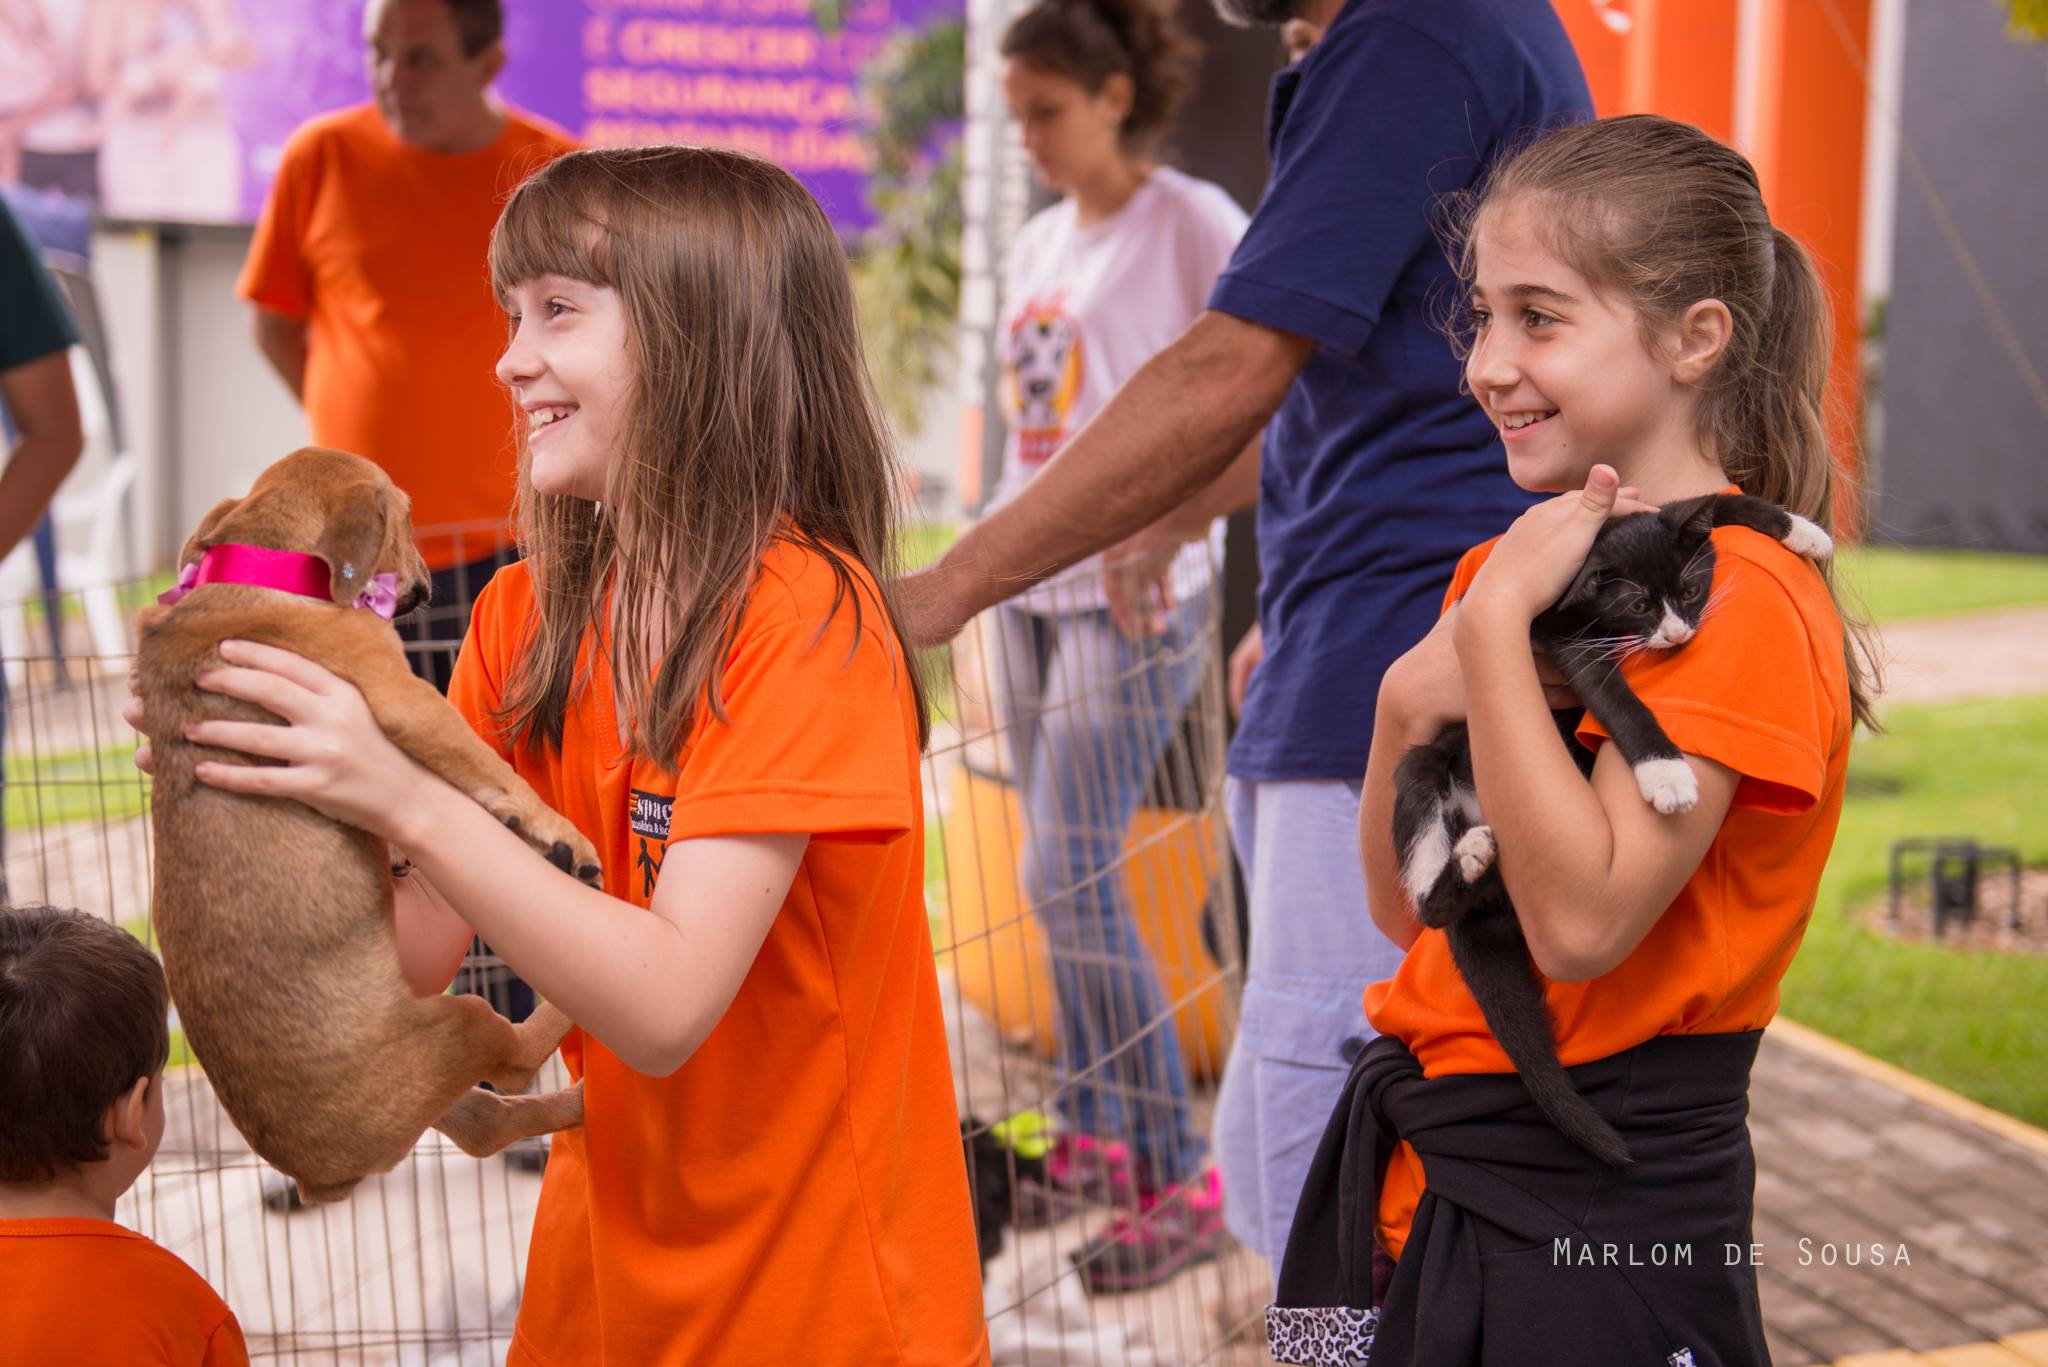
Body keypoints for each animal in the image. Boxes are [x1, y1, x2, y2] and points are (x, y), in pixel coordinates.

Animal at [138, 446, 593, 1196]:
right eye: (406, 515)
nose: (429, 583)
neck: (271, 561)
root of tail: (316, 1174)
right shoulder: (406, 698)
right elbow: (488, 768)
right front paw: (560, 833)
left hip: (436, 1080)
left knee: (487, 1124)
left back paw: (576, 1105)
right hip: (457, 1026)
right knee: (514, 1061)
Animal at [1400, 491, 1835, 1164]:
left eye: (1688, 588)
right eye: (1636, 606)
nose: (1678, 635)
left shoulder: (1664, 512)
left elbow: (1717, 503)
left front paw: (1803, 532)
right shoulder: (1559, 634)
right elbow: (1615, 695)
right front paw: (1666, 774)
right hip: (1423, 769)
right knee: (1427, 885)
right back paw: (1464, 861)